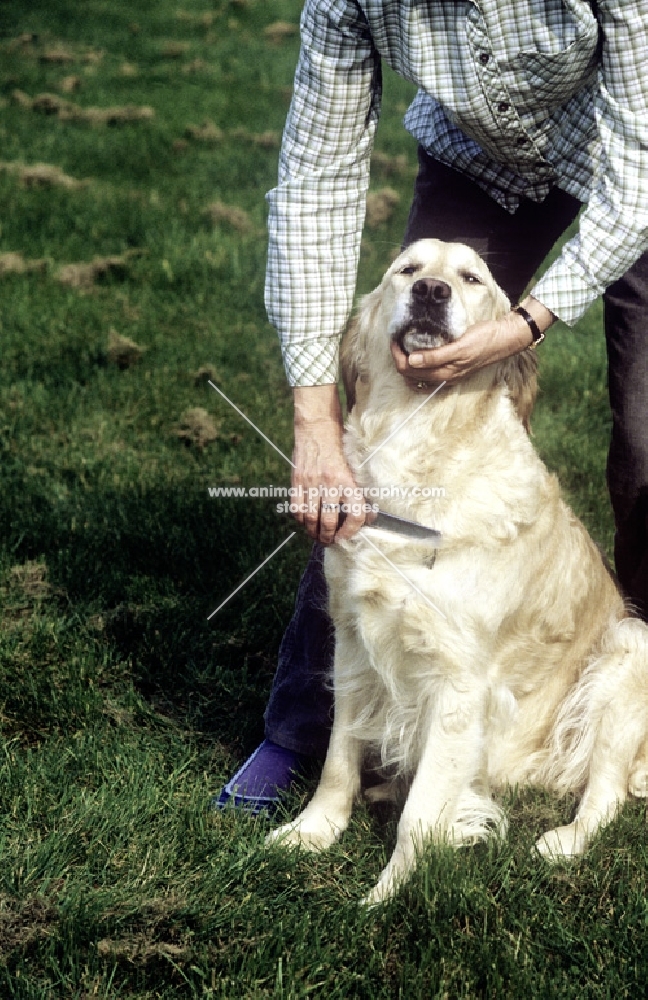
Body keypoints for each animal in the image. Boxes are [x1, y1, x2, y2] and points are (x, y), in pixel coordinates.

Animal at [264, 238, 648, 904]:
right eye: (408, 270)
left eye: (470, 278)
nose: (431, 292)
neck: (420, 447)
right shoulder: (354, 641)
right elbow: (338, 756)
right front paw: (313, 832)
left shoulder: (461, 683)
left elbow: (422, 816)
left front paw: (385, 898)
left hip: (630, 648)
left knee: (606, 795)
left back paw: (562, 842)